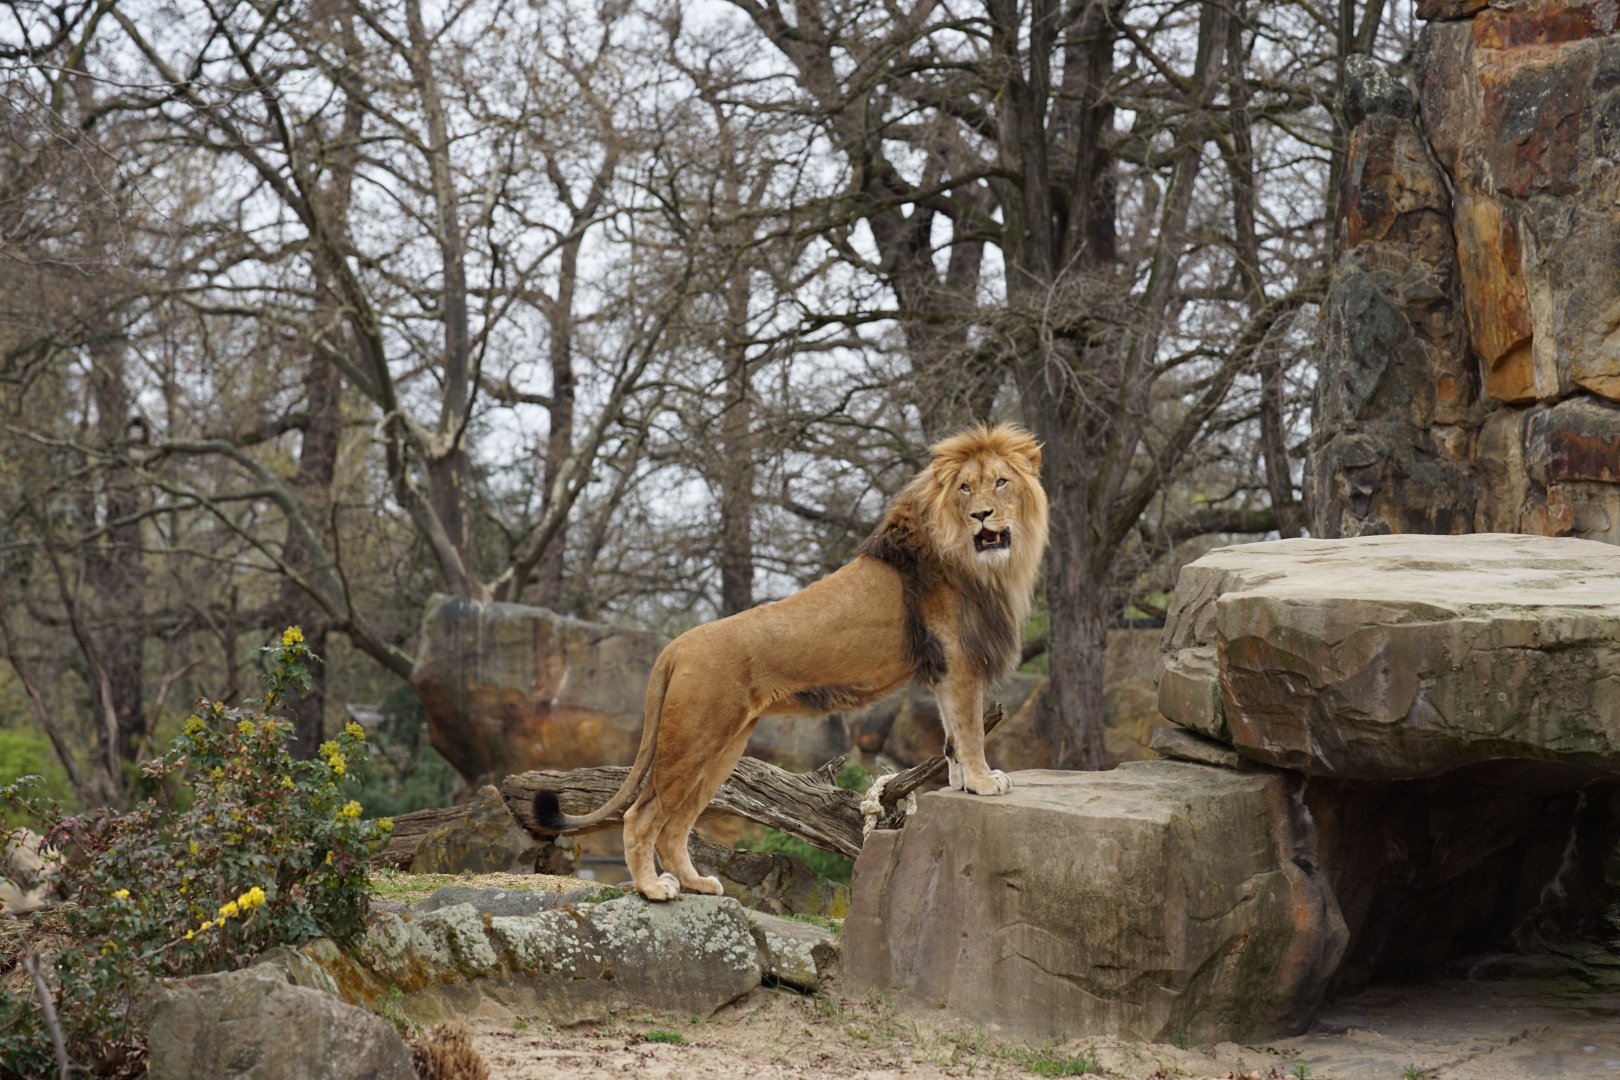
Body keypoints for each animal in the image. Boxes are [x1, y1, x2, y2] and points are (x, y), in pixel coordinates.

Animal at [531, 422, 1049, 900]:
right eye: (966, 488)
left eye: (1000, 482)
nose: (982, 515)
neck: (978, 560)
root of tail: (675, 647)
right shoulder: (959, 660)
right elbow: (970, 728)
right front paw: (983, 781)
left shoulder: (945, 667)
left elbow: (950, 735)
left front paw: (962, 783)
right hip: (692, 742)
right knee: (642, 816)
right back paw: (653, 889)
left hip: (722, 752)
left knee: (676, 824)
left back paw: (697, 883)